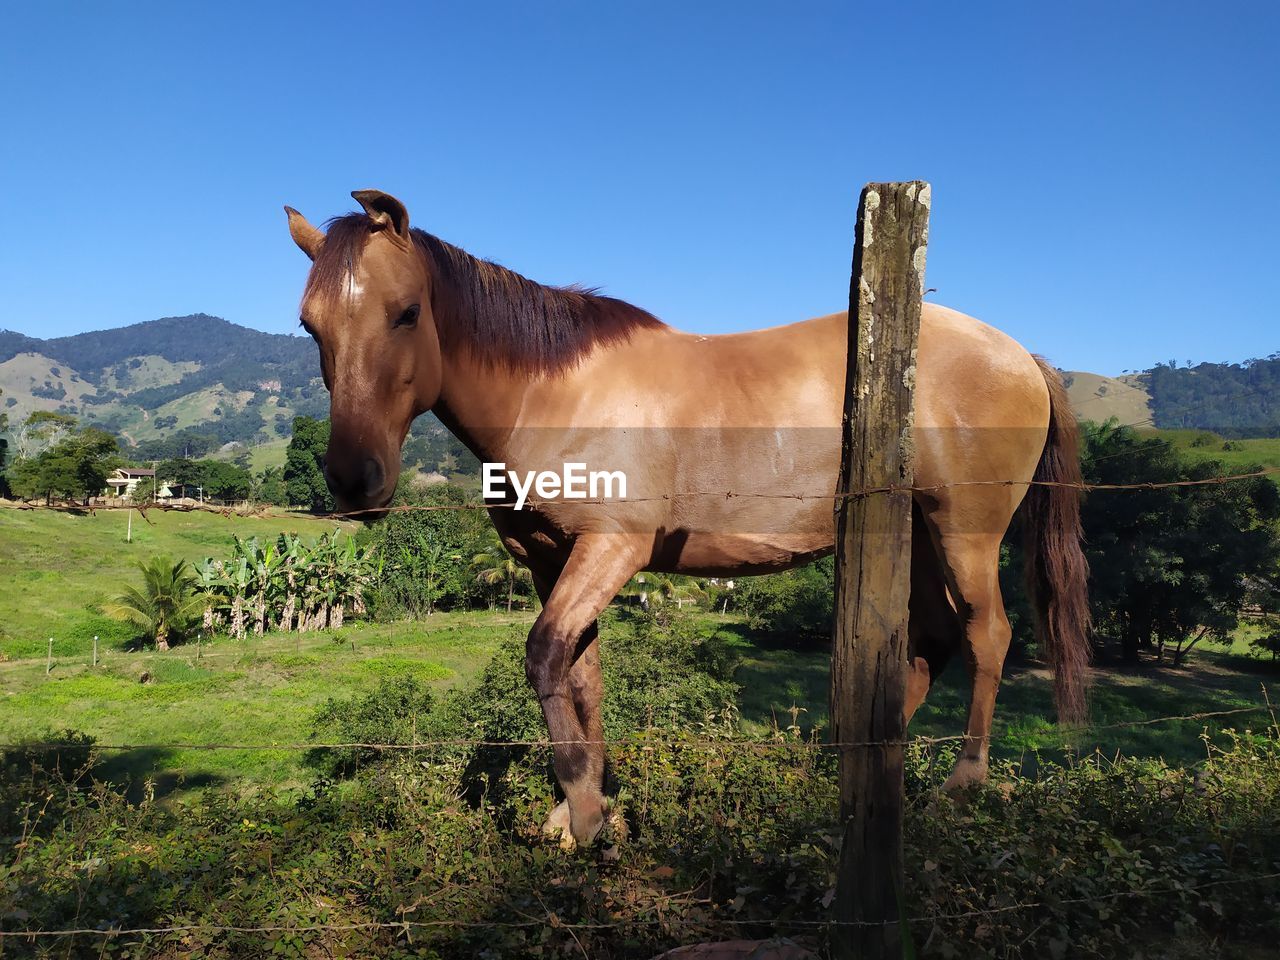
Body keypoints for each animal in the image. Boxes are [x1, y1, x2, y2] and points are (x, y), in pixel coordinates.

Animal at [285, 192, 1085, 844]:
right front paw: (583, 807)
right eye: (311, 327)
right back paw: (839, 763)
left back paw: (964, 782)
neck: (556, 394)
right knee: (933, 640)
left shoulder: (611, 550)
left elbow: (545, 655)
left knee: (987, 635)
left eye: (407, 312)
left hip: (965, 533)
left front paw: (584, 811)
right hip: (911, 536)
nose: (354, 479)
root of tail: (1022, 355)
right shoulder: (553, 559)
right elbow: (582, 674)